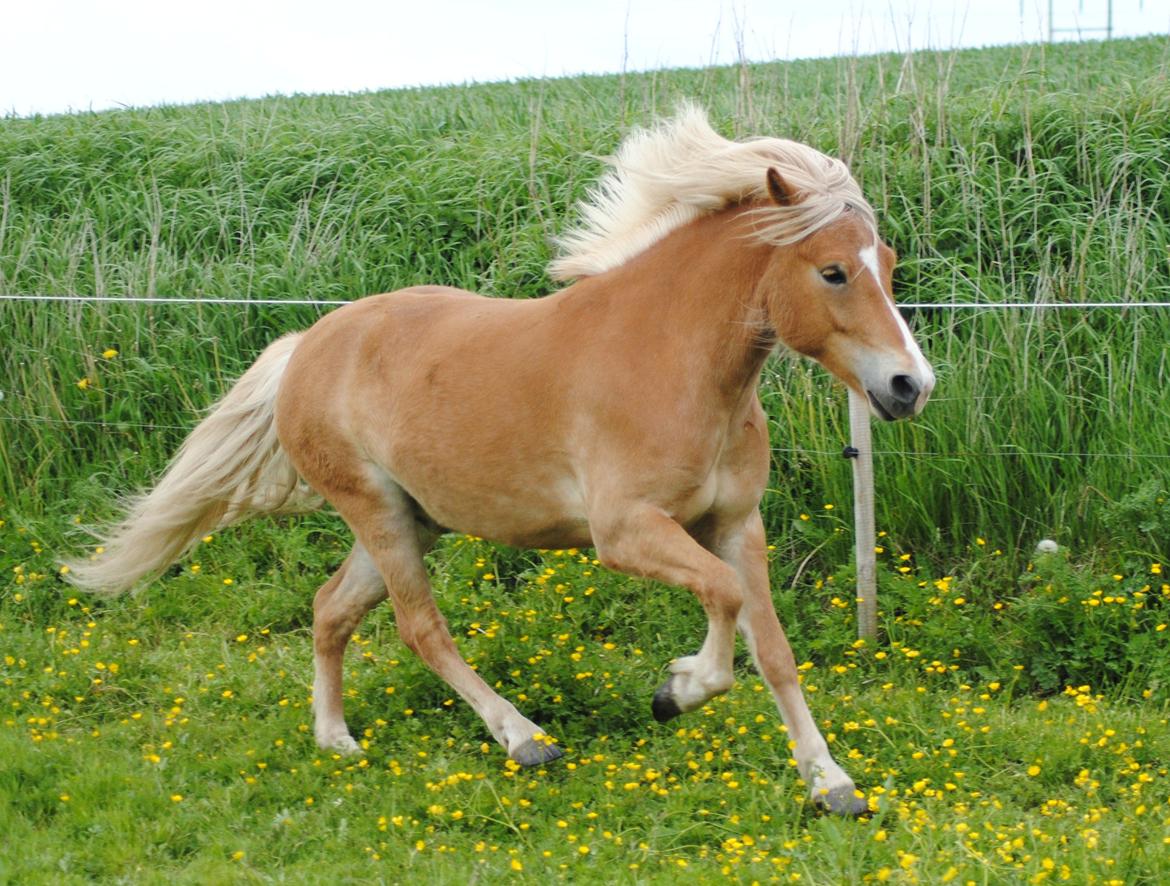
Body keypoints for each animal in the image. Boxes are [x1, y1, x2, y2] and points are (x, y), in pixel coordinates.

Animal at [68, 105, 935, 814]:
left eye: (888, 266)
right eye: (832, 271)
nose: (909, 386)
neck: (671, 360)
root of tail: (307, 343)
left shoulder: (734, 525)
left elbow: (774, 650)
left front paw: (832, 784)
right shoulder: (625, 533)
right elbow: (723, 610)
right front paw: (676, 690)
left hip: (411, 519)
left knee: (329, 609)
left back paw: (336, 739)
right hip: (377, 514)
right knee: (421, 628)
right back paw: (523, 737)